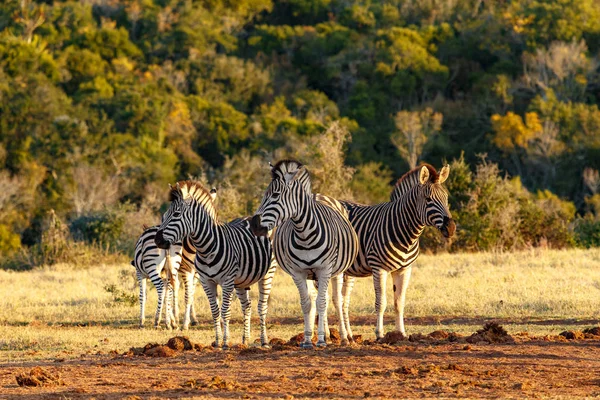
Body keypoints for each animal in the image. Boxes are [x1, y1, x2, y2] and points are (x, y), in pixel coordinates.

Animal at [155, 181, 276, 350]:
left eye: (176, 214)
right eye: (164, 216)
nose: (157, 240)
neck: (206, 248)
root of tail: (248, 217)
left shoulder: (227, 281)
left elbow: (225, 311)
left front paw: (225, 342)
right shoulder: (207, 281)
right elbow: (215, 311)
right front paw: (218, 342)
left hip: (267, 274)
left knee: (262, 307)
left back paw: (264, 341)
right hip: (241, 281)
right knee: (247, 306)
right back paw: (245, 340)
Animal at [251, 161, 358, 348]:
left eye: (275, 195)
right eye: (264, 195)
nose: (253, 225)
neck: (304, 233)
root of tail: (318, 195)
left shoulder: (324, 269)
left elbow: (322, 302)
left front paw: (321, 341)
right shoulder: (298, 272)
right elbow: (307, 303)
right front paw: (308, 340)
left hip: (336, 271)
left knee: (336, 300)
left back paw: (344, 337)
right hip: (312, 275)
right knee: (317, 297)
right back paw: (326, 334)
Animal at [326, 164, 458, 340]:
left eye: (446, 198)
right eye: (428, 199)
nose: (451, 228)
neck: (406, 233)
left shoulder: (404, 270)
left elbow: (399, 302)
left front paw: (401, 334)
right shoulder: (379, 268)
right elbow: (381, 303)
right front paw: (380, 334)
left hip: (348, 271)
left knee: (343, 300)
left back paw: (349, 335)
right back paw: (327, 334)